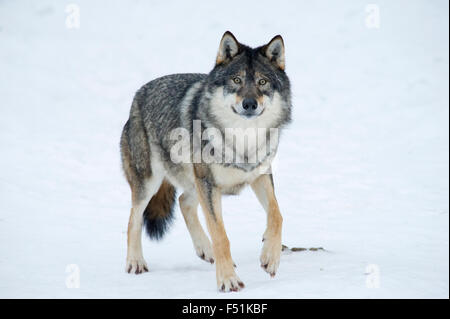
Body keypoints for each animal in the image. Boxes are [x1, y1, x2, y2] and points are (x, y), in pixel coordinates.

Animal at [120, 31, 292, 292]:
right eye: (236, 80)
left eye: (262, 82)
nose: (249, 104)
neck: (242, 139)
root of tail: (137, 95)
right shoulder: (209, 184)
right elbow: (221, 234)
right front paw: (228, 280)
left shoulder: (259, 174)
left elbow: (277, 215)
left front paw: (270, 257)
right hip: (151, 182)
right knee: (133, 218)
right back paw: (135, 263)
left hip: (194, 183)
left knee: (183, 202)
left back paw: (206, 250)